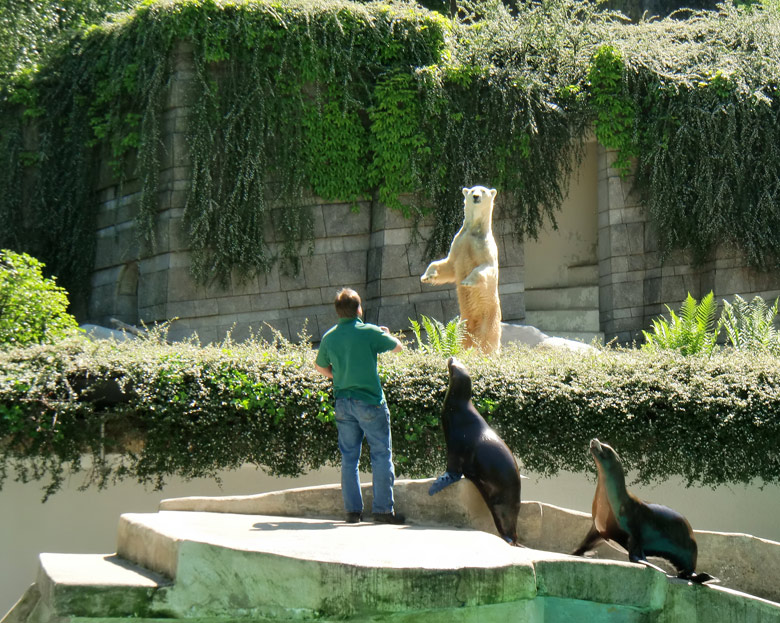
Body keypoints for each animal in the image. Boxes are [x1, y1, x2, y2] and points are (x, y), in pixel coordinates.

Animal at [420, 186, 500, 356]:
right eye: (473, 190)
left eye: (483, 191)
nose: (476, 196)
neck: (474, 230)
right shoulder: (460, 241)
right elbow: (448, 265)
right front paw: (427, 276)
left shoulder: (485, 245)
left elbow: (486, 267)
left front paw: (467, 281)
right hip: (462, 324)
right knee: (461, 339)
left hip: (490, 319)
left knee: (488, 342)